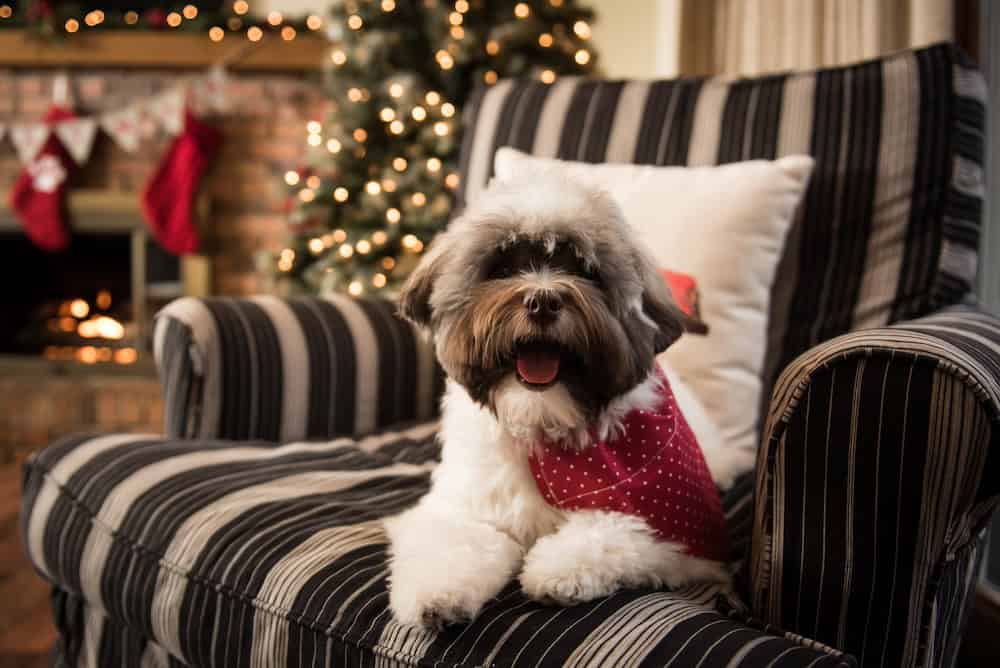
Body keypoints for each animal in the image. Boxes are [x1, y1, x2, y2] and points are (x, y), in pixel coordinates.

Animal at [384, 170, 752, 628]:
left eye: (585, 270)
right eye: (503, 267)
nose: (542, 301)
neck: (546, 424)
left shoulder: (681, 539)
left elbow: (617, 533)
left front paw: (558, 568)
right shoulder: (462, 507)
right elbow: (455, 542)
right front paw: (438, 594)